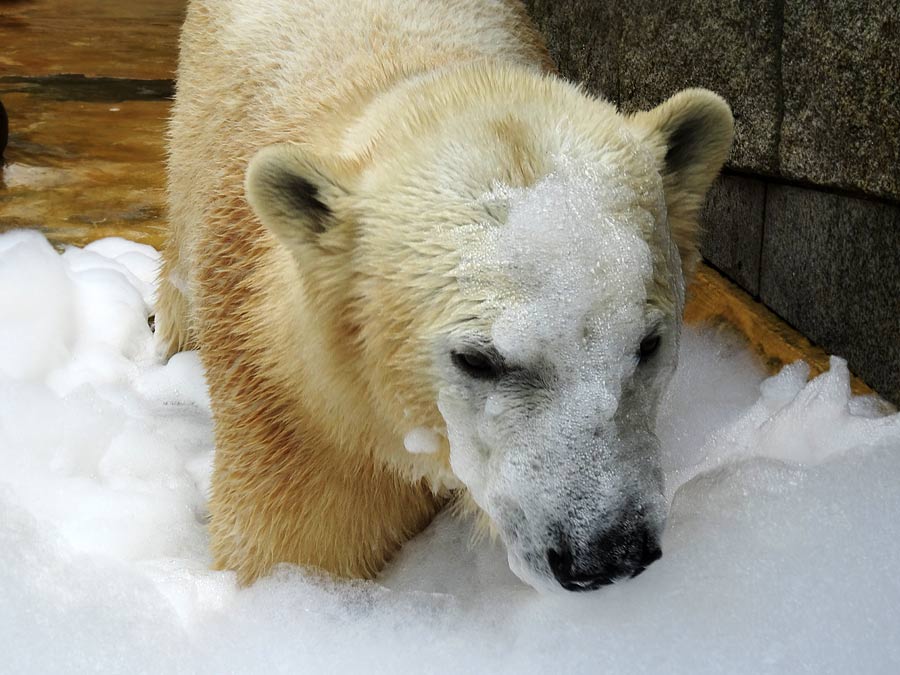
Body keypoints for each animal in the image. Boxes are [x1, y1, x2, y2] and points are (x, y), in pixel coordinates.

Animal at [155, 0, 732, 592]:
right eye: (476, 359)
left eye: (648, 343)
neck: (432, 82)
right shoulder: (293, 412)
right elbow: (296, 545)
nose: (607, 553)